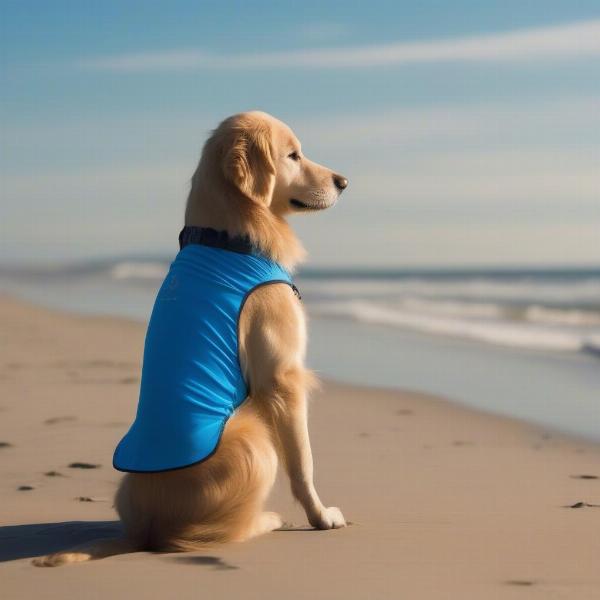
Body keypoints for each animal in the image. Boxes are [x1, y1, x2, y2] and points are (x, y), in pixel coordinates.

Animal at [34, 110, 346, 564]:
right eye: (293, 155)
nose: (344, 182)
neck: (228, 238)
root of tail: (145, 532)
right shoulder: (283, 378)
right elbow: (303, 462)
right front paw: (322, 516)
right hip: (254, 437)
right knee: (205, 534)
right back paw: (265, 520)